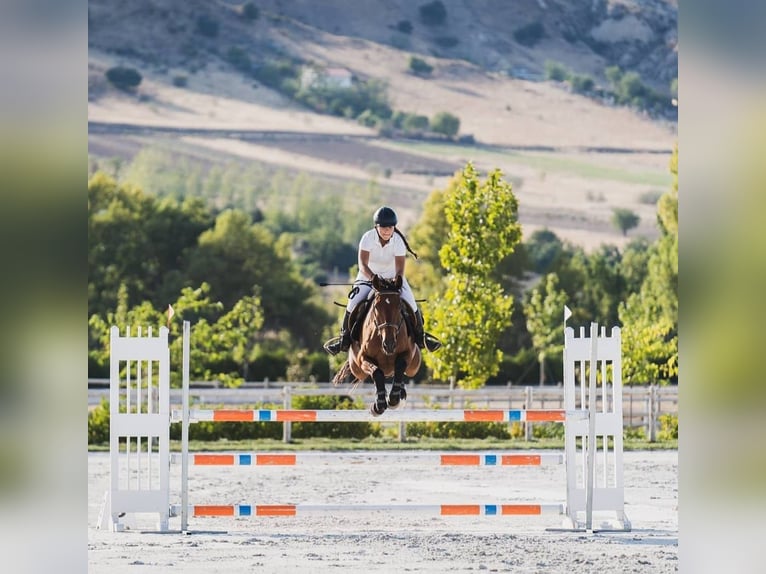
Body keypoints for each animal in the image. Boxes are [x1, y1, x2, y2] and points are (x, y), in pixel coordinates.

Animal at [332, 276, 424, 416]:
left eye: (399, 307)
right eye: (376, 307)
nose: (389, 344)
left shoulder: (408, 353)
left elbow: (400, 365)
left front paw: (394, 399)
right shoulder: (363, 359)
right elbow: (377, 373)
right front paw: (378, 405)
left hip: (413, 366)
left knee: (400, 372)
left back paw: (401, 393)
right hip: (357, 369)